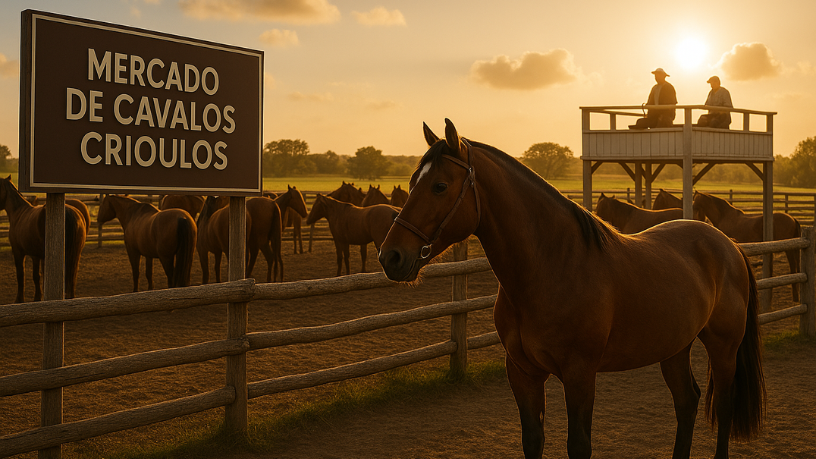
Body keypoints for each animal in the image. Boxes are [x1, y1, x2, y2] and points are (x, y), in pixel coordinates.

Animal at [378, 119, 765, 459]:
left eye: (440, 186)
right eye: (412, 182)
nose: (390, 255)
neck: (552, 267)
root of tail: (728, 245)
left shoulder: (579, 375)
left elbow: (578, 446)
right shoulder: (522, 372)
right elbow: (533, 441)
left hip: (723, 347)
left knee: (723, 406)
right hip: (674, 347)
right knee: (687, 402)